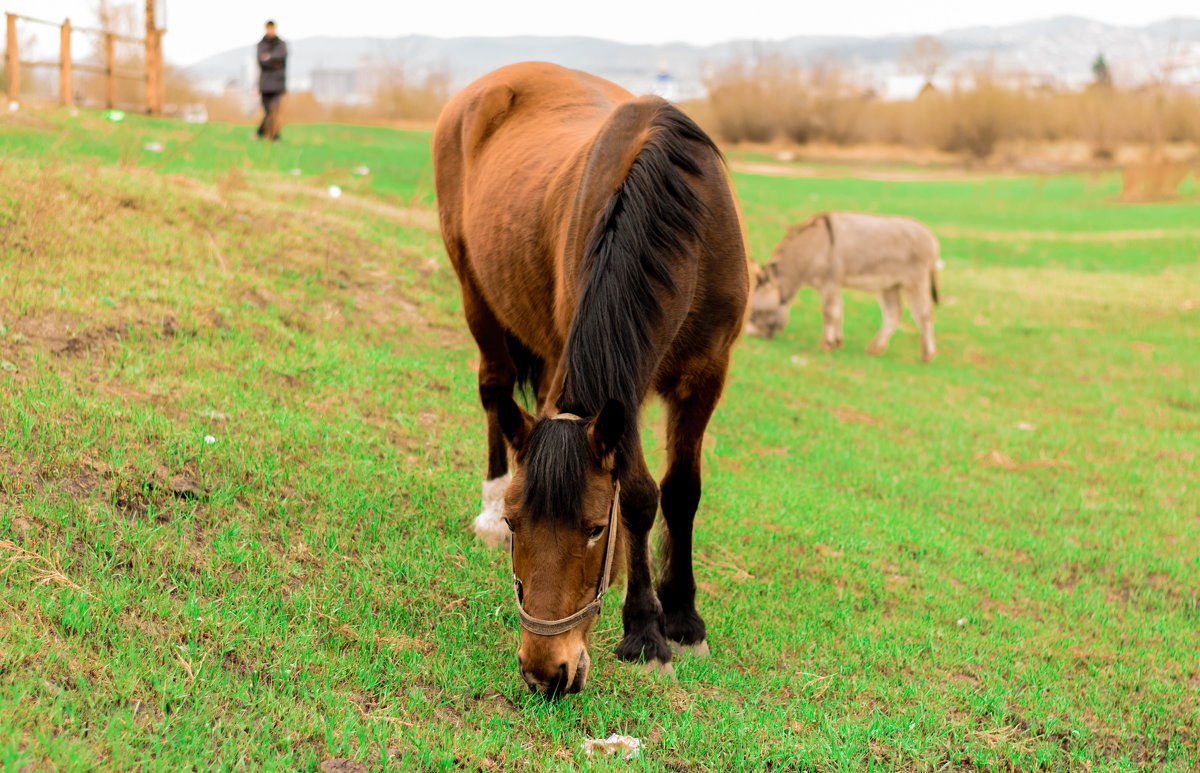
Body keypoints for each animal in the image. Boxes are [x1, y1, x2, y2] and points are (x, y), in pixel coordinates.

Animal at [432, 63, 748, 696]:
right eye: (518, 522)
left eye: (595, 528)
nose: (544, 671)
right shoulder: (621, 390)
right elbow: (643, 493)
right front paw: (644, 628)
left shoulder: (706, 376)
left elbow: (679, 492)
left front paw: (680, 617)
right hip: (475, 288)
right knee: (495, 387)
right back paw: (486, 499)